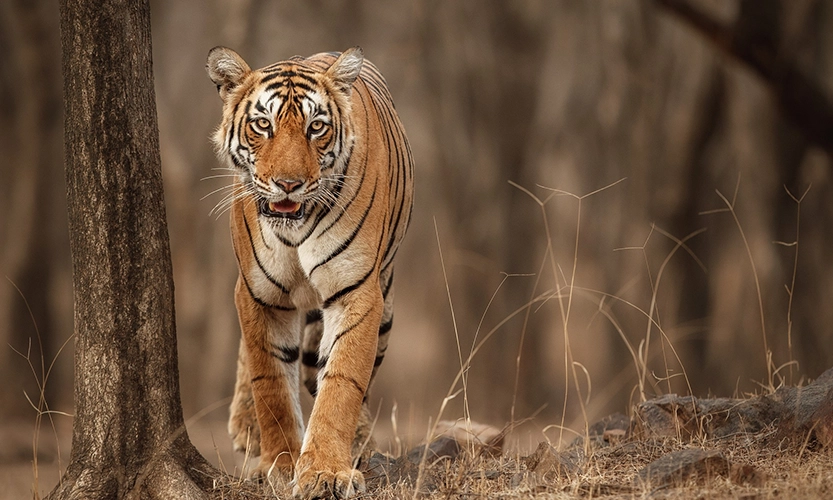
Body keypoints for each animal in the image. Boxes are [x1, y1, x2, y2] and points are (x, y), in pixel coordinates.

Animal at [206, 46, 414, 498]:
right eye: (262, 125)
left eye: (316, 127)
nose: (288, 184)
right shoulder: (257, 294)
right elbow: (270, 381)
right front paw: (281, 464)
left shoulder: (356, 291)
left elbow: (341, 383)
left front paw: (325, 472)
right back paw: (246, 427)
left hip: (386, 306)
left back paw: (359, 443)